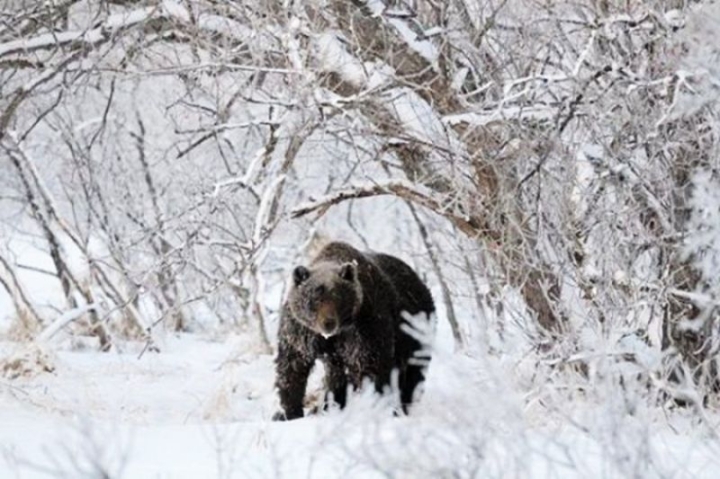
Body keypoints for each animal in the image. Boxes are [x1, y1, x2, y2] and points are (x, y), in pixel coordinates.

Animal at [272, 241, 435, 421]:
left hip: (415, 330)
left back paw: (403, 405)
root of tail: (417, 278)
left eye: (337, 296)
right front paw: (290, 411)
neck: (335, 334)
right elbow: (292, 365)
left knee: (414, 371)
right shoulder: (301, 332)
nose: (328, 323)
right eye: (315, 297)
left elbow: (370, 366)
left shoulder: (364, 328)